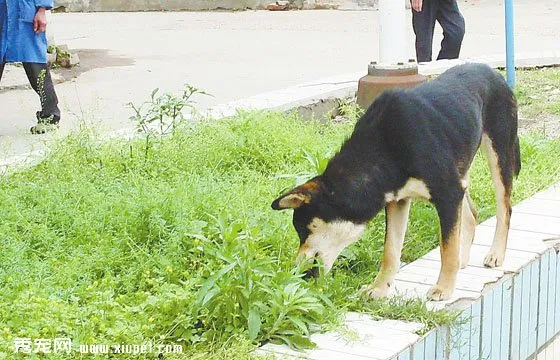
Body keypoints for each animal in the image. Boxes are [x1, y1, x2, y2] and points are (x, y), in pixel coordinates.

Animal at [272, 62, 520, 300]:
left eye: (304, 230)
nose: (298, 272)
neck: (383, 150)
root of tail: (494, 73)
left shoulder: (447, 194)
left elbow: (446, 247)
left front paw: (444, 288)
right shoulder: (397, 199)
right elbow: (390, 250)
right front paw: (379, 288)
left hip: (498, 153)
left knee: (505, 208)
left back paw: (495, 254)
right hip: (462, 170)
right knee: (472, 214)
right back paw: (463, 260)